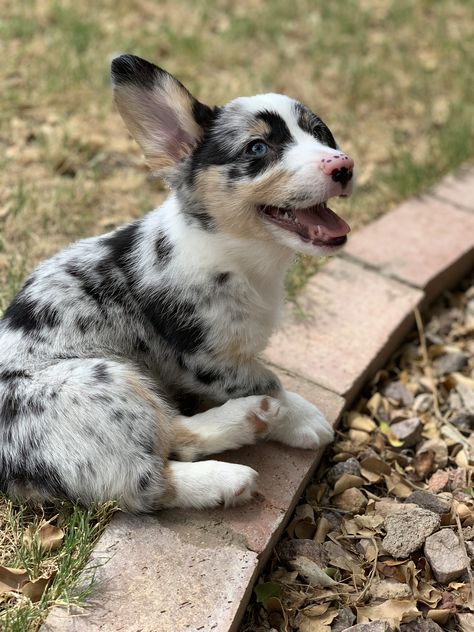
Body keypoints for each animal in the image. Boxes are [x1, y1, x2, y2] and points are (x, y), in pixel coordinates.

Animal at [0, 51, 354, 512]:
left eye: (321, 134)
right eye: (258, 148)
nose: (344, 165)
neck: (240, 254)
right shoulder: (206, 359)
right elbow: (270, 381)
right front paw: (304, 418)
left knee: (176, 436)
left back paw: (248, 418)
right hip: (106, 381)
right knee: (150, 479)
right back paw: (228, 474)